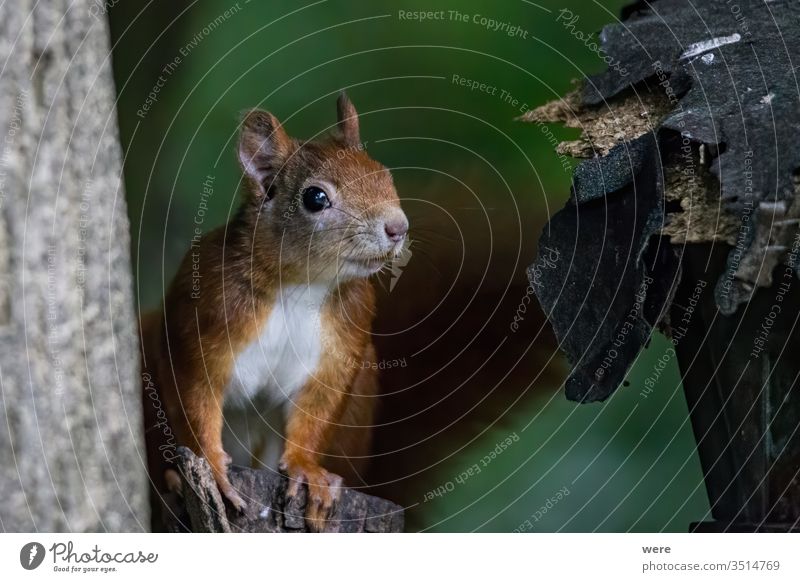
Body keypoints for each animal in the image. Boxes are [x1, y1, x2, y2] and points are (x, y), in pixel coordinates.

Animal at [139, 93, 406, 532]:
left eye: (384, 174)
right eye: (315, 198)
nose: (398, 228)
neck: (299, 286)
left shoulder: (342, 344)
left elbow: (316, 411)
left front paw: (306, 469)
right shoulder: (203, 320)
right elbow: (195, 398)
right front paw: (212, 467)